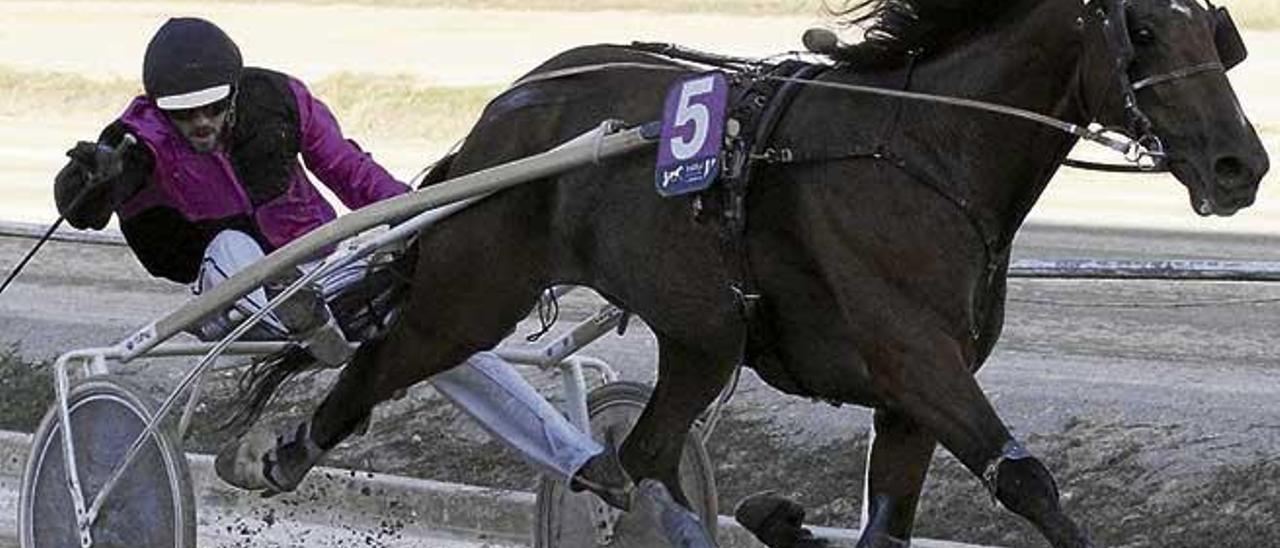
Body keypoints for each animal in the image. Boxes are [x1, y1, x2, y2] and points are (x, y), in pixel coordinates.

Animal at [238, 0, 1259, 545]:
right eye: (1143, 31)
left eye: (1216, 32)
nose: (1240, 164)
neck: (924, 149)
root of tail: (510, 104)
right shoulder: (916, 360)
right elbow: (1030, 483)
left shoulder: (911, 399)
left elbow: (889, 522)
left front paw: (781, 517)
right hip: (477, 286)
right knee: (390, 359)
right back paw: (278, 453)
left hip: (702, 336)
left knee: (640, 458)